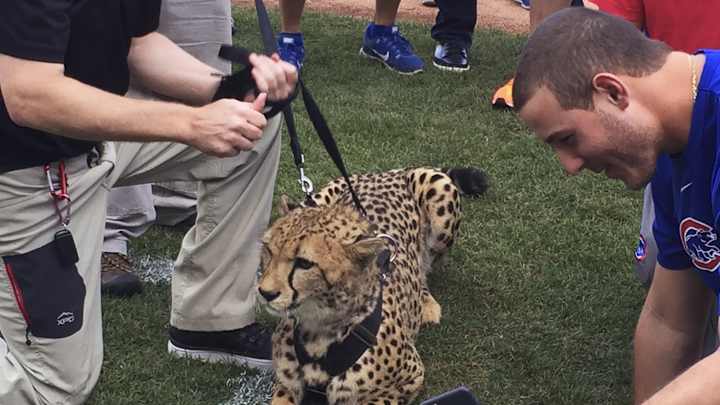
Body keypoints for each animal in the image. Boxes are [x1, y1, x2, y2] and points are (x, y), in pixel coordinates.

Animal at [257, 166, 488, 405]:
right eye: (269, 250)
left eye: (304, 263)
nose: (265, 292)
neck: (319, 328)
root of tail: (389, 172)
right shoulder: (286, 385)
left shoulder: (409, 379)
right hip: (314, 199)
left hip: (442, 212)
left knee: (426, 264)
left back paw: (426, 302)